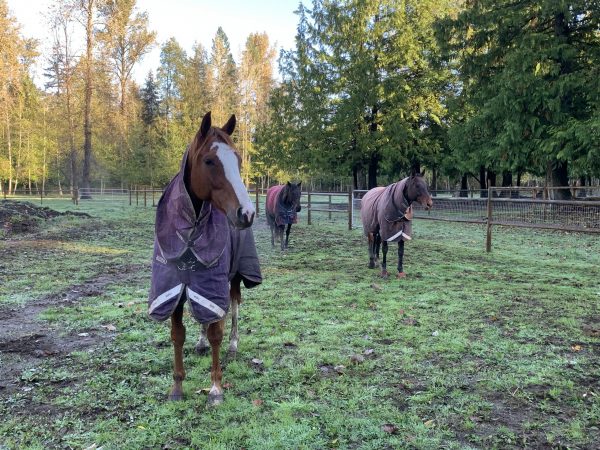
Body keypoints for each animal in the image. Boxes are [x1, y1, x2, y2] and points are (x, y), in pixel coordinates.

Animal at [148, 110, 260, 406]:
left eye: (238, 160)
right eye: (209, 161)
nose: (247, 213)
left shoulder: (214, 284)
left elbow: (216, 333)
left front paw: (215, 388)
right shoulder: (174, 287)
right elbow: (177, 335)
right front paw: (177, 387)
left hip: (234, 276)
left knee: (234, 306)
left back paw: (234, 345)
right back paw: (199, 343)